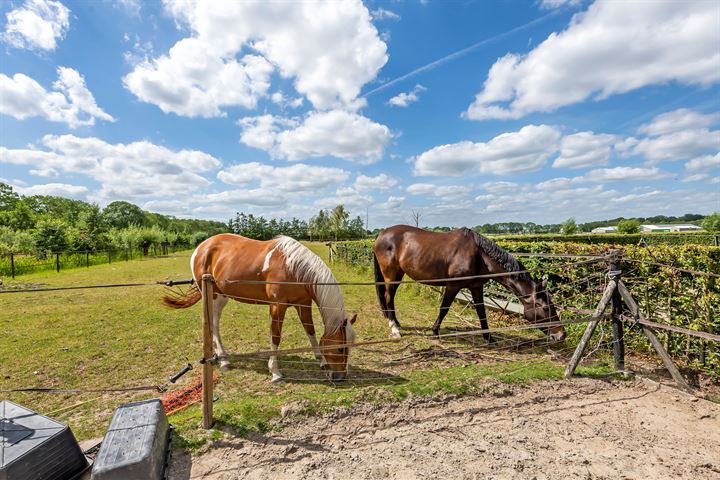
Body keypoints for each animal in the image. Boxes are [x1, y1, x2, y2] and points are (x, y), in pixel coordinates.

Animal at [162, 233, 354, 382]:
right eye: (340, 348)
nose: (341, 376)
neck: (294, 267)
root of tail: (201, 248)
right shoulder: (277, 306)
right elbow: (275, 336)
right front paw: (275, 372)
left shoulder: (303, 303)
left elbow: (310, 331)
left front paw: (321, 360)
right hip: (213, 297)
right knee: (213, 324)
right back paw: (224, 360)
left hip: (222, 297)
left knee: (213, 323)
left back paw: (218, 356)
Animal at [374, 225, 564, 342]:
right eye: (545, 308)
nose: (561, 335)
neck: (479, 255)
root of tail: (382, 234)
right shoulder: (453, 286)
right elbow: (444, 309)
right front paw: (435, 332)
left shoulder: (476, 287)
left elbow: (481, 312)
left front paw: (489, 338)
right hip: (391, 275)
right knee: (388, 297)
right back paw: (394, 329)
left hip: (398, 275)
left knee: (391, 298)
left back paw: (396, 323)